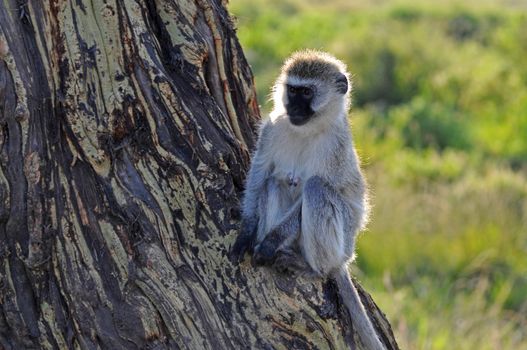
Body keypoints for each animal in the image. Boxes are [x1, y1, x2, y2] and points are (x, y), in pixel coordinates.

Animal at [233, 50, 386, 350]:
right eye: (292, 90)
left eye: (306, 92)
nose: (293, 108)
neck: (309, 130)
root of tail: (344, 257)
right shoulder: (272, 128)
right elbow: (259, 174)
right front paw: (247, 231)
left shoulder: (335, 147)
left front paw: (270, 242)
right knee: (272, 183)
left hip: (342, 242)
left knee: (316, 188)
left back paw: (313, 268)